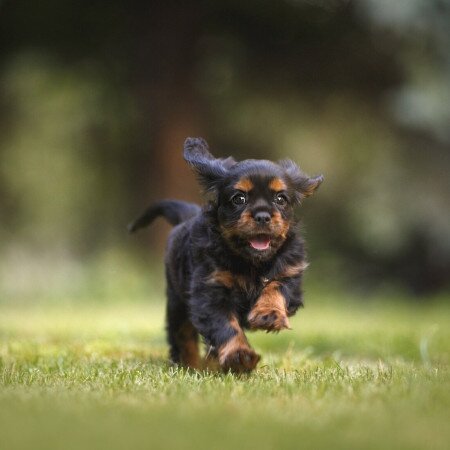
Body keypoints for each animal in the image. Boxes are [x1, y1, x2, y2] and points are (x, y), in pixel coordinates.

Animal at [128, 137, 322, 372]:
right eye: (239, 199)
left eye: (280, 199)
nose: (263, 216)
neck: (251, 262)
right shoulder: (210, 291)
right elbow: (225, 326)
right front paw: (239, 355)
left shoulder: (290, 274)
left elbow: (275, 288)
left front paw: (268, 314)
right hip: (177, 302)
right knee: (182, 336)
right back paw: (191, 365)